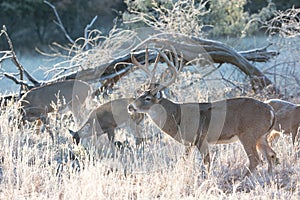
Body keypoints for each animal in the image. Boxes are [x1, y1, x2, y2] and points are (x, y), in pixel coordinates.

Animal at [127, 48, 278, 177]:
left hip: (248, 133)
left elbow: (207, 163)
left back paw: (243, 178)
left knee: (256, 159)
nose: (130, 106)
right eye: (140, 94)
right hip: (261, 136)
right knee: (271, 154)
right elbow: (184, 161)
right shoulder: (188, 143)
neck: (177, 118)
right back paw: (269, 176)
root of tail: (270, 111)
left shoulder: (200, 137)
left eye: (147, 98)